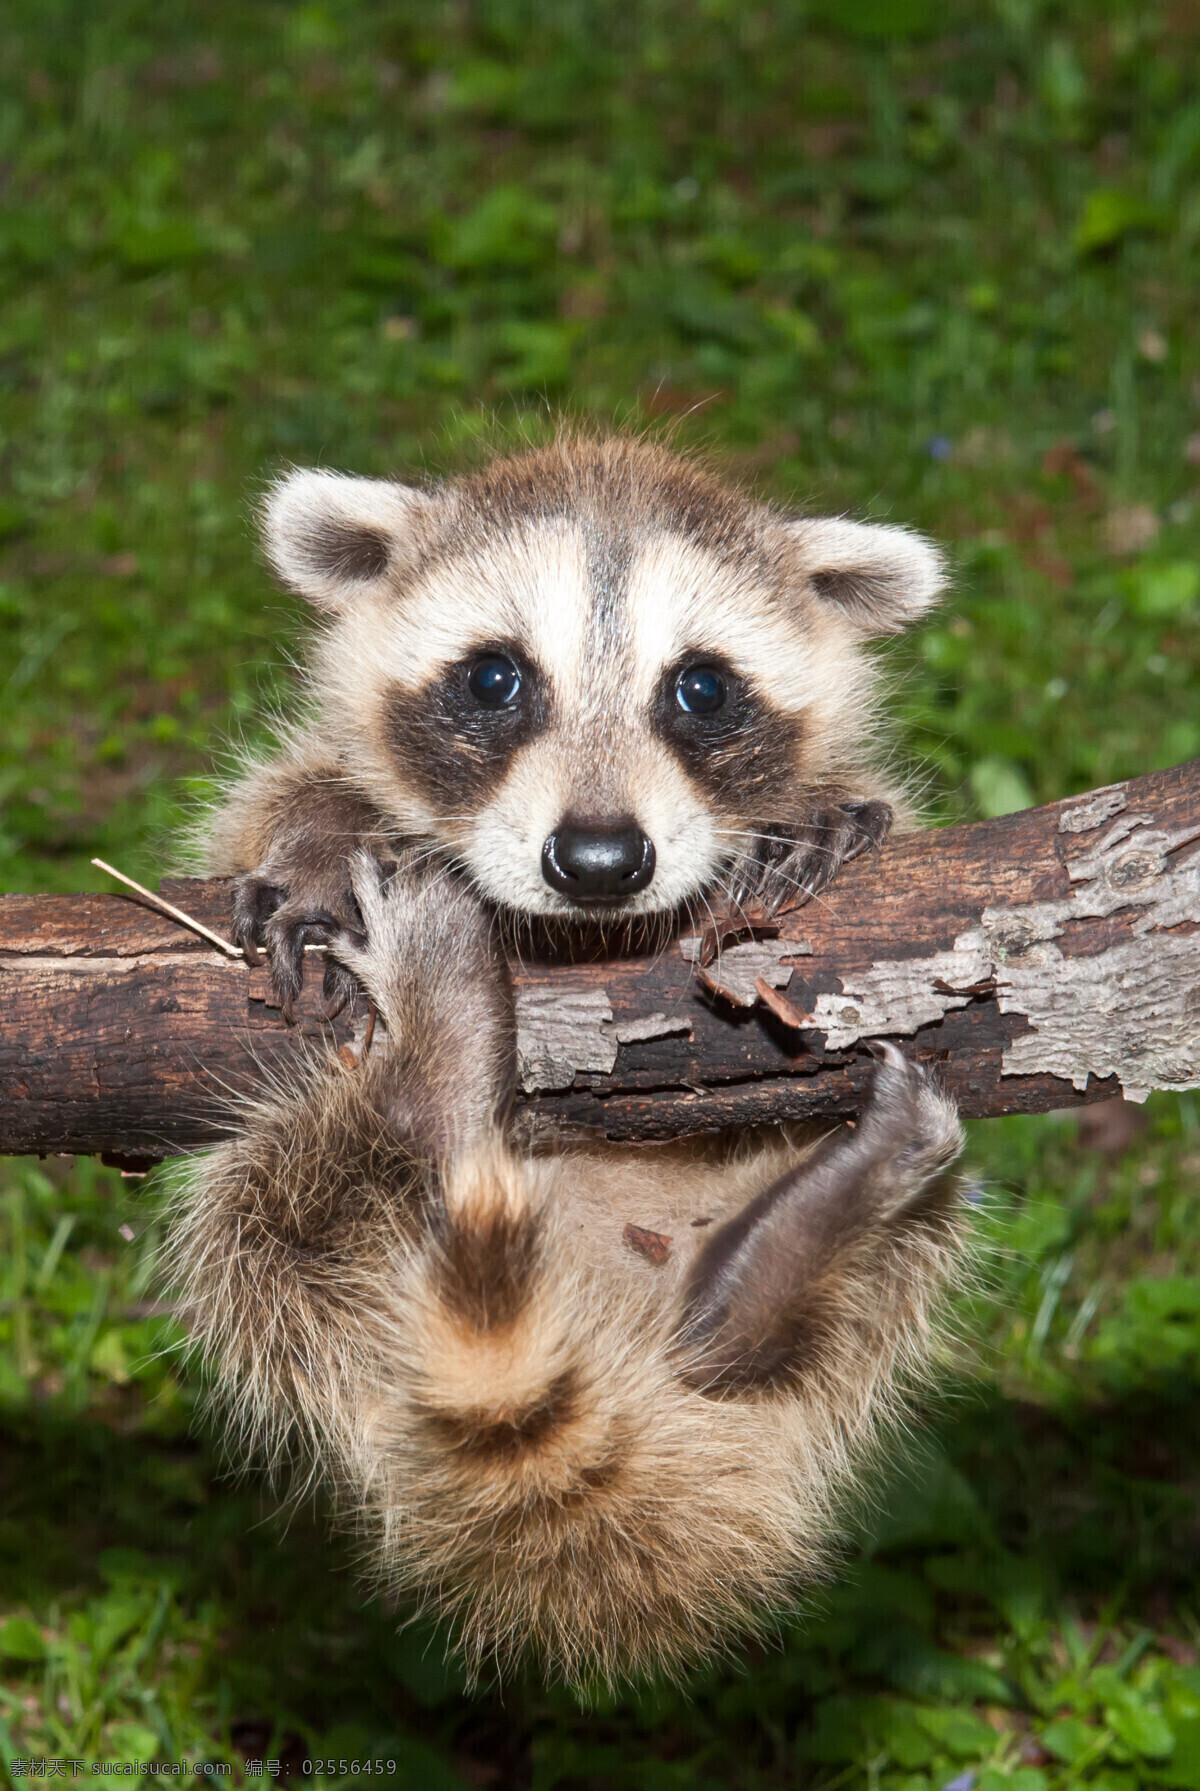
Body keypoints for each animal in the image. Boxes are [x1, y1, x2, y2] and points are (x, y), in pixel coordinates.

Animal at [176, 433, 967, 1676]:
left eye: (702, 688)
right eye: (495, 678)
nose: (598, 861)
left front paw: (821, 806)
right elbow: (279, 800)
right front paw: (323, 834)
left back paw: (772, 1273)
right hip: (291, 1235)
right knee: (282, 1216)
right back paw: (428, 1093)